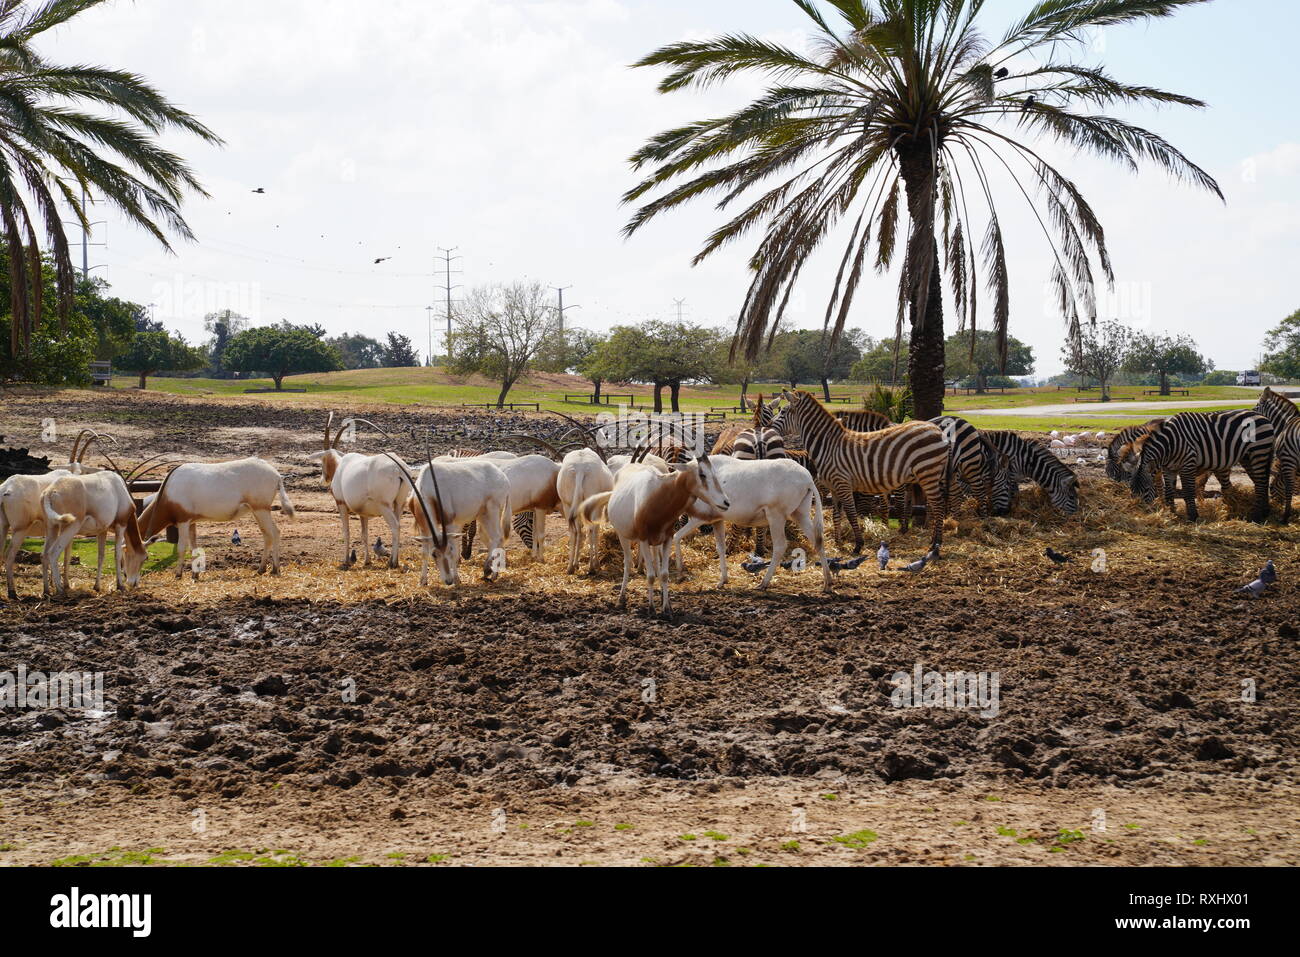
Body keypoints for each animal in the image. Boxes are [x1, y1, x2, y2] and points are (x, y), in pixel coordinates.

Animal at [769, 390, 946, 553]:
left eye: (783, 412)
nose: (768, 427)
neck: (828, 446)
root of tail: (937, 429)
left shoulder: (843, 483)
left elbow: (851, 513)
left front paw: (858, 544)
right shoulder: (834, 487)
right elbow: (836, 515)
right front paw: (838, 542)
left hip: (927, 472)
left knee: (938, 505)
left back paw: (936, 544)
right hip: (927, 475)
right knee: (933, 505)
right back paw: (933, 540)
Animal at [1133, 408, 1274, 520]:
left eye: (1146, 489)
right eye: (1133, 490)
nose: (1139, 512)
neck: (1169, 444)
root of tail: (1263, 416)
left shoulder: (1188, 464)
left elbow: (1189, 491)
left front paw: (1193, 516)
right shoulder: (1168, 468)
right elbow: (1169, 492)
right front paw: (1172, 514)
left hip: (1259, 451)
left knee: (1261, 483)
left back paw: (1256, 516)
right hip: (1247, 457)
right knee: (1261, 481)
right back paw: (1265, 511)